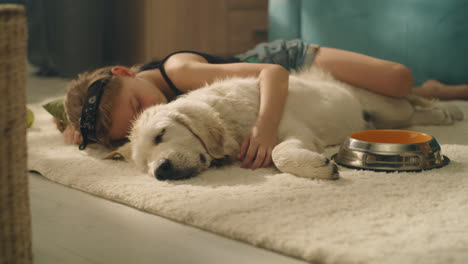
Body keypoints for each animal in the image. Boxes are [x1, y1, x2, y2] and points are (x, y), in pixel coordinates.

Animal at [108, 68, 462, 180]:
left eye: (161, 135)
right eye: (144, 166)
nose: (160, 171)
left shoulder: (292, 130)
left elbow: (279, 152)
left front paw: (321, 167)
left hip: (386, 107)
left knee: (413, 103)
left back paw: (451, 111)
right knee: (414, 111)